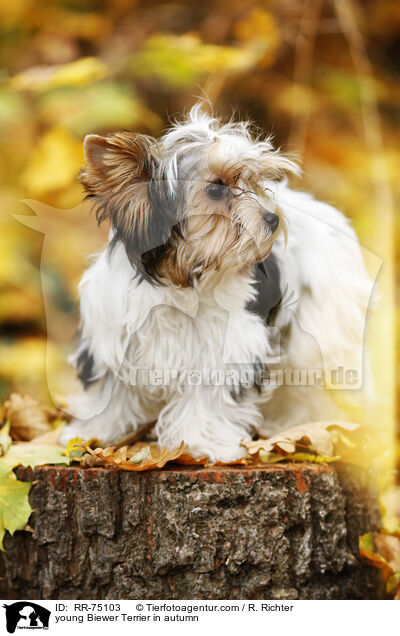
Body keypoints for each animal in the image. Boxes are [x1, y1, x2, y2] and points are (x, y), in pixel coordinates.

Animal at [57, 107, 374, 460]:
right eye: (216, 189)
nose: (273, 219)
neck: (181, 281)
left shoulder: (223, 348)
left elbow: (205, 396)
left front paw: (200, 443)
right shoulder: (114, 336)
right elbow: (113, 389)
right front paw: (97, 431)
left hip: (325, 325)